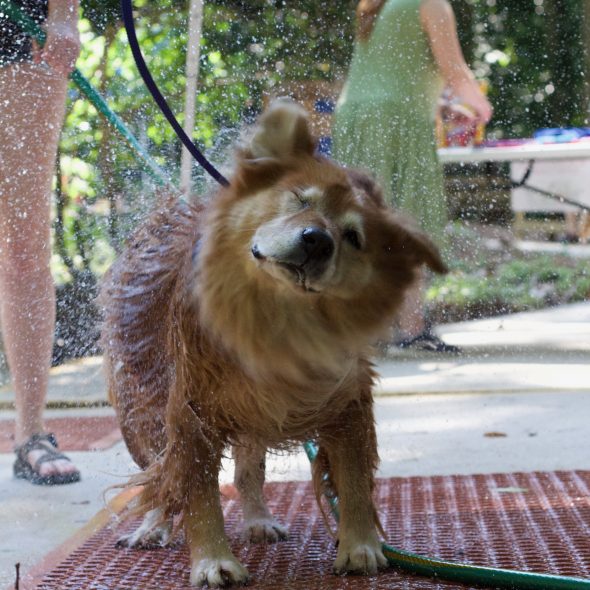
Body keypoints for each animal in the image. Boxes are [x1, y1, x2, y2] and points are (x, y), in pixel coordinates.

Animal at [99, 100, 446, 588]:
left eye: (354, 237)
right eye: (300, 199)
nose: (316, 240)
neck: (275, 323)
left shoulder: (348, 404)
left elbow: (354, 481)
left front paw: (360, 545)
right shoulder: (190, 413)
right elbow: (194, 494)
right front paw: (212, 561)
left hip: (250, 419)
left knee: (247, 473)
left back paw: (259, 520)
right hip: (143, 407)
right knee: (157, 476)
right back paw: (154, 528)